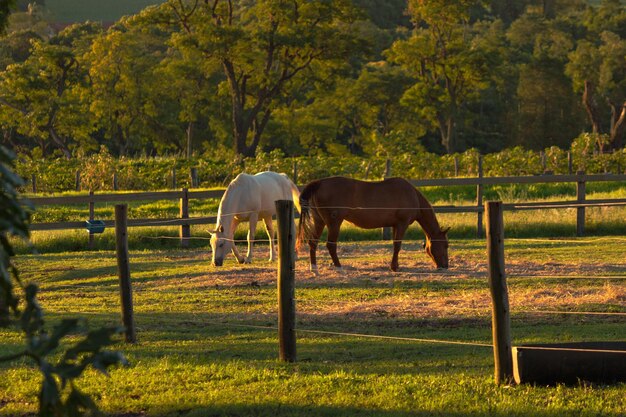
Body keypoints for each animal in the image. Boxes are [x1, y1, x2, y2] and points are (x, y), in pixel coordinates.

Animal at [294, 176, 446, 272]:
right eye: (445, 245)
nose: (445, 266)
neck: (411, 194)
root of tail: (320, 183)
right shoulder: (402, 224)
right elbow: (398, 245)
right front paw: (394, 267)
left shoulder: (395, 225)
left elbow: (394, 245)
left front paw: (394, 265)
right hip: (334, 223)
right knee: (331, 245)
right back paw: (339, 267)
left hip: (319, 221)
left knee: (313, 243)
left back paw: (314, 268)